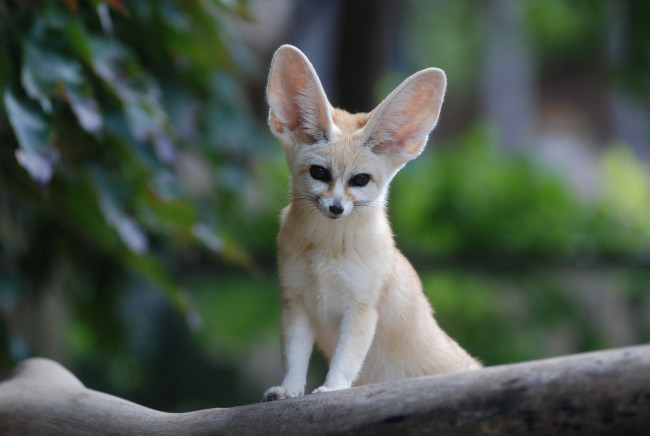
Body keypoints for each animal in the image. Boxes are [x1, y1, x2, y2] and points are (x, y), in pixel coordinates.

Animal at [263, 45, 480, 402]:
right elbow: (294, 358)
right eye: (319, 173)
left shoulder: (361, 309)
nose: (336, 208)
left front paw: (332, 389)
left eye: (360, 180)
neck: (327, 251)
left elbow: (346, 359)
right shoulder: (296, 303)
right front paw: (288, 389)